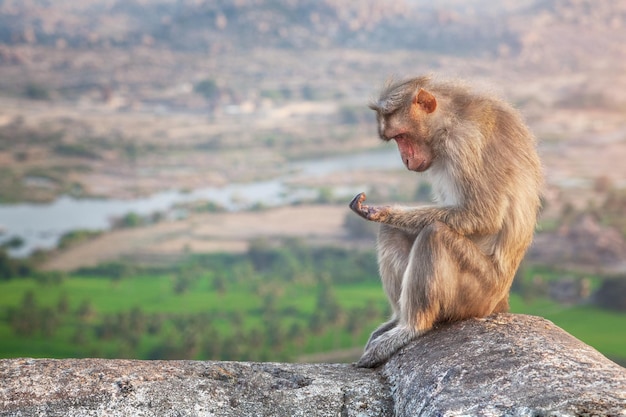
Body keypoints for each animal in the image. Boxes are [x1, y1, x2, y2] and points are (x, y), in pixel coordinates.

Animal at [348, 75, 540, 368]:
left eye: (402, 136)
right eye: (395, 140)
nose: (405, 160)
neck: (451, 121)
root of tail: (500, 303)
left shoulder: (465, 144)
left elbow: (482, 215)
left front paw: (383, 211)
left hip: (478, 295)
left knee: (435, 234)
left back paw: (412, 327)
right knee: (393, 233)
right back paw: (397, 320)